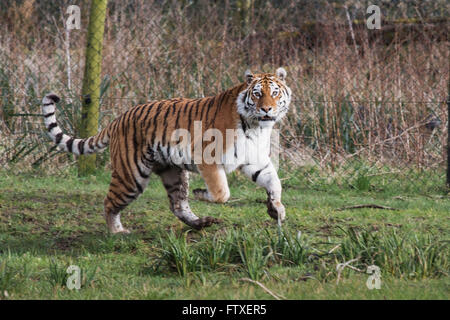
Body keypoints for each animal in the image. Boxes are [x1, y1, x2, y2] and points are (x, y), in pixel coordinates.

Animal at [42, 67, 292, 234]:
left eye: (275, 93)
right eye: (257, 94)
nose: (267, 109)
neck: (256, 127)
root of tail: (118, 119)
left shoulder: (255, 160)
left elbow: (274, 182)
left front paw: (276, 210)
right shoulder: (208, 159)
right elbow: (222, 193)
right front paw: (202, 193)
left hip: (173, 171)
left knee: (178, 205)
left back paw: (201, 223)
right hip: (131, 176)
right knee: (109, 202)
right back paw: (117, 232)